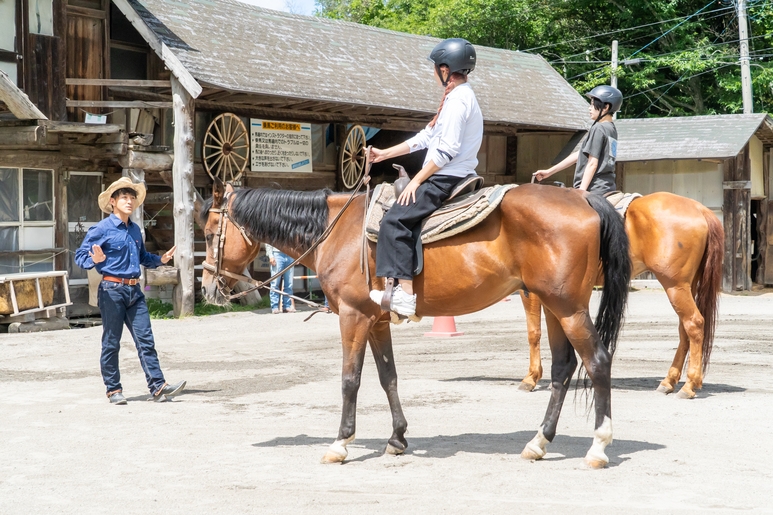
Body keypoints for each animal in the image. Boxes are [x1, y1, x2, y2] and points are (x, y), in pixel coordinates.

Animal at [199, 179, 631, 468]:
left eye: (208, 233)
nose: (206, 287)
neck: (337, 231)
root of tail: (583, 196)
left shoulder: (354, 317)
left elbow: (350, 380)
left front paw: (340, 444)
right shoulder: (376, 322)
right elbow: (388, 377)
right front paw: (396, 438)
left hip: (568, 308)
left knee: (598, 363)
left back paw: (598, 446)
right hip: (555, 307)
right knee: (563, 368)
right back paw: (538, 442)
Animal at [517, 192, 723, 399]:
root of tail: (700, 209)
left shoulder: (532, 291)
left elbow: (534, 333)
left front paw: (531, 378)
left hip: (675, 285)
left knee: (694, 323)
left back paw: (689, 385)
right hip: (688, 285)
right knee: (684, 329)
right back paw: (669, 381)